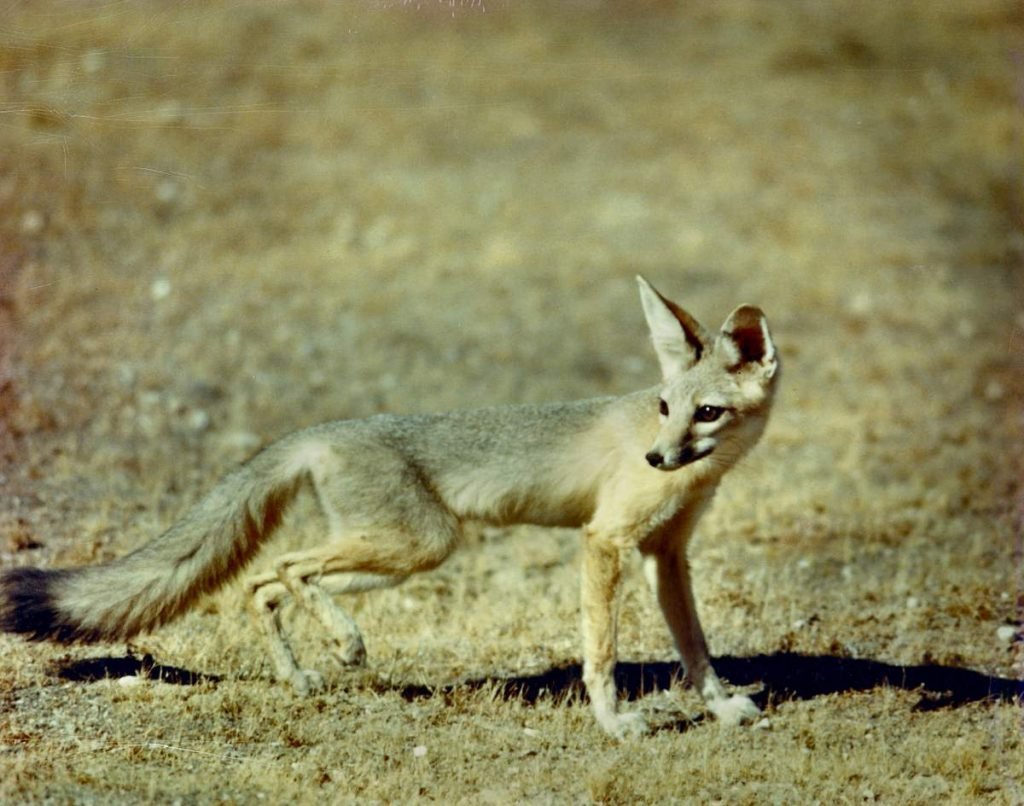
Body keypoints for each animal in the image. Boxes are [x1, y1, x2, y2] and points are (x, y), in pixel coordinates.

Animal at [0, 276, 774, 737]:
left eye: (705, 412)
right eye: (665, 408)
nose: (656, 459)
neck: (695, 476)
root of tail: (322, 430)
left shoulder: (665, 556)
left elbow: (696, 649)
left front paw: (723, 705)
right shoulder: (605, 541)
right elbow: (602, 652)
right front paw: (615, 724)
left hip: (397, 553)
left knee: (262, 584)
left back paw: (303, 674)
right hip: (419, 544)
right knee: (289, 565)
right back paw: (344, 644)